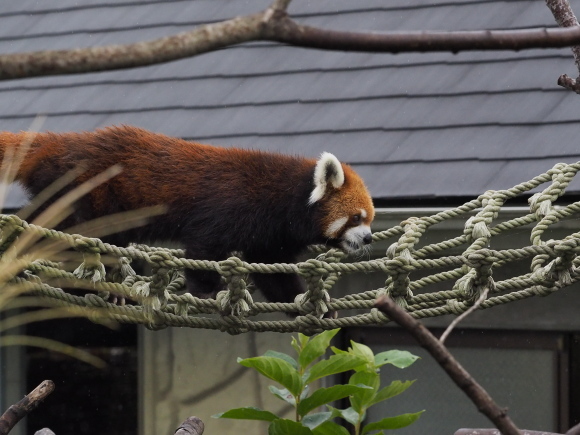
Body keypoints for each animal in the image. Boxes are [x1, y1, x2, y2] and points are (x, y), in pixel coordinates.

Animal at [0, 124, 374, 304]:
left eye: (370, 218)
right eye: (356, 218)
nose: (369, 237)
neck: (283, 197)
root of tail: (60, 141)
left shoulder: (270, 238)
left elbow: (273, 273)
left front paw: (305, 300)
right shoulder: (228, 209)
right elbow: (203, 249)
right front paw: (207, 291)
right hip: (84, 191)